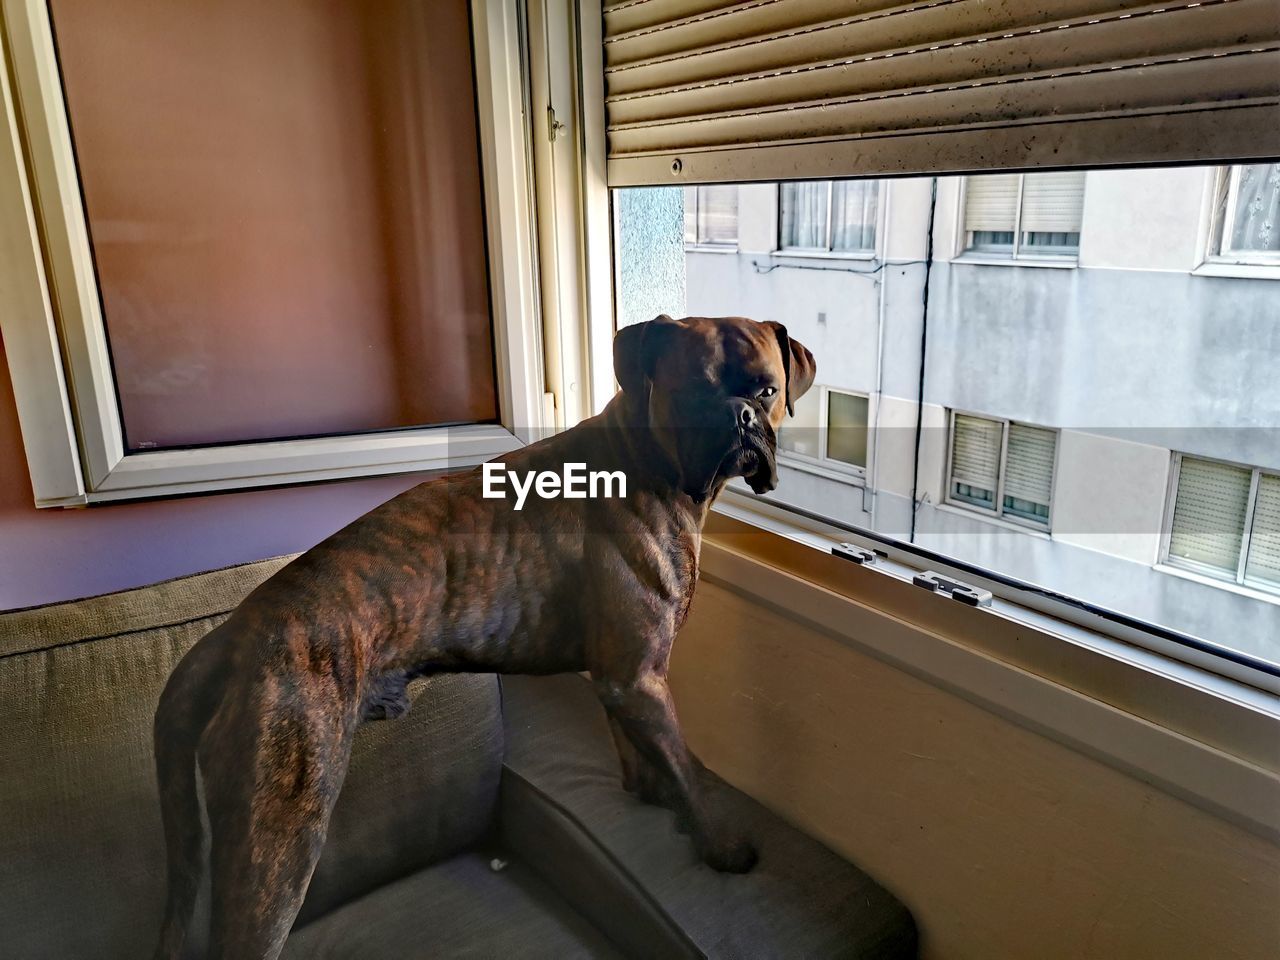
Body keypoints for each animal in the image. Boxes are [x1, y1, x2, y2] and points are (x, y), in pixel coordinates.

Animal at [154, 316, 814, 960]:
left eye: (767, 390)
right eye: (694, 391)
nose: (740, 414)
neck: (643, 459)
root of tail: (229, 637)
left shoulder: (624, 680)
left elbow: (638, 746)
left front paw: (649, 789)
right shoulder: (640, 680)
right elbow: (686, 768)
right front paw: (720, 845)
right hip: (280, 837)